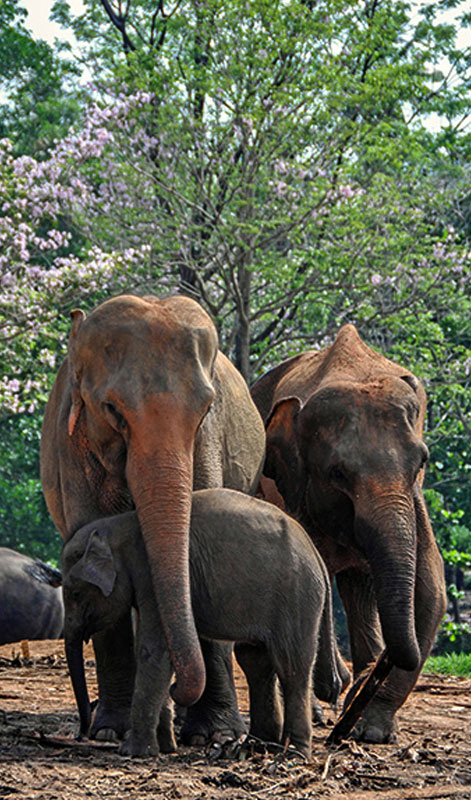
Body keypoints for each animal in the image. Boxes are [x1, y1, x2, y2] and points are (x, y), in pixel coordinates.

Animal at [40, 293, 266, 743]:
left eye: (206, 409)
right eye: (111, 409)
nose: (178, 690)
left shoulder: (207, 444)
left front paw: (215, 735)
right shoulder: (73, 447)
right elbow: (93, 538)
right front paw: (112, 731)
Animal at [62, 488, 343, 759]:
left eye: (75, 594)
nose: (80, 736)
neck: (119, 526)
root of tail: (316, 554)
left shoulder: (152, 578)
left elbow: (155, 652)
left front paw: (133, 751)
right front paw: (164, 747)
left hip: (297, 596)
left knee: (291, 666)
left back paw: (293, 753)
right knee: (257, 662)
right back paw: (258, 746)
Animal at [251, 323, 447, 743]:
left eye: (421, 461)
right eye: (338, 473)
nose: (370, 674)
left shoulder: (415, 499)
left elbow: (431, 585)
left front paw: (371, 730)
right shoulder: (297, 490)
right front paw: (339, 691)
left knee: (359, 587)